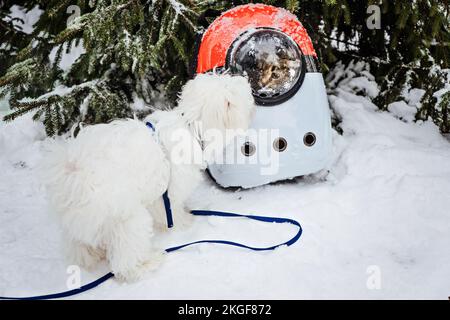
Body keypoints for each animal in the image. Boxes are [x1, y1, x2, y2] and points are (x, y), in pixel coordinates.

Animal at [42, 73, 256, 282]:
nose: (253, 104)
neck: (189, 125)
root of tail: (75, 172)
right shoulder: (168, 194)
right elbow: (172, 212)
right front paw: (185, 222)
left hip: (81, 223)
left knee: (79, 246)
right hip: (129, 219)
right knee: (125, 259)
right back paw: (146, 264)